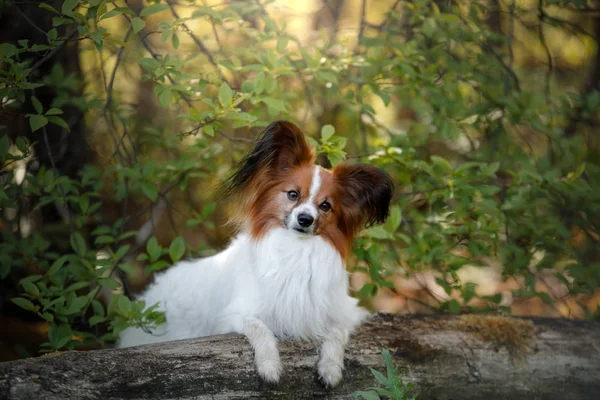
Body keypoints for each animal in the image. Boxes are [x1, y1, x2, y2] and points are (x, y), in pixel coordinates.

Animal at [119, 120, 396, 386]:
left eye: (325, 206)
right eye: (293, 194)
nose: (305, 219)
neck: (296, 249)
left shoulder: (343, 311)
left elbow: (336, 333)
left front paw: (331, 368)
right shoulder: (236, 314)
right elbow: (261, 329)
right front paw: (269, 367)